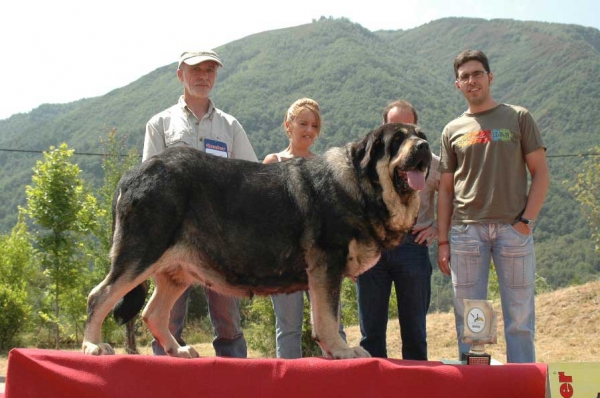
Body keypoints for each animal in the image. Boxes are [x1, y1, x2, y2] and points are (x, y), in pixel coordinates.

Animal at [83, 123, 432, 360]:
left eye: (420, 134)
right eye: (397, 141)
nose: (424, 147)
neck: (360, 186)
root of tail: (132, 173)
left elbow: (327, 315)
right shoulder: (326, 266)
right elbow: (327, 317)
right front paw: (341, 350)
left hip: (176, 270)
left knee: (152, 313)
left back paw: (177, 350)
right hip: (141, 252)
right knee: (100, 296)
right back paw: (92, 344)